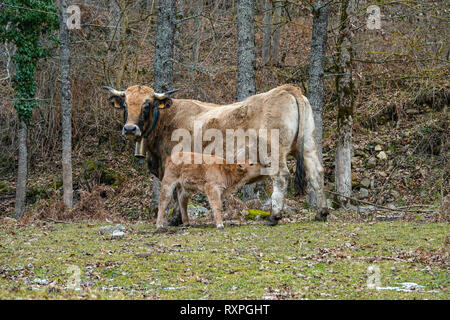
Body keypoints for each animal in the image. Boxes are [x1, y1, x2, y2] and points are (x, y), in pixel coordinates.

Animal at [102, 84, 328, 225]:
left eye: (146, 105)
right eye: (124, 105)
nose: (130, 129)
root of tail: (286, 88)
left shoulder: (172, 166)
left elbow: (177, 193)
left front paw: (176, 219)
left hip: (273, 152)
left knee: (280, 178)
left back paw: (274, 216)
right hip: (308, 145)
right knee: (316, 173)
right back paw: (321, 212)